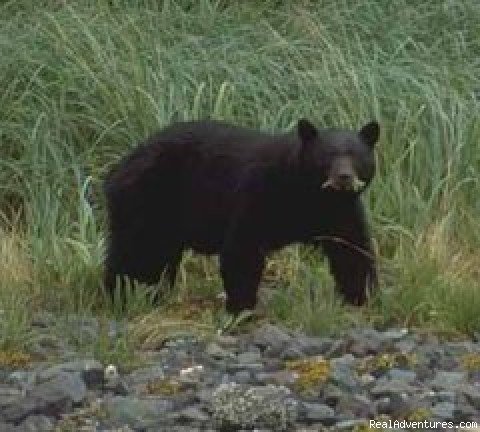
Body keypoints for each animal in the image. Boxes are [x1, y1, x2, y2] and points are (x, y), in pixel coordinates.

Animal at [104, 118, 378, 312]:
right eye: (327, 156)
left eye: (355, 155)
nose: (344, 177)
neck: (309, 196)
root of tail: (119, 166)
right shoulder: (258, 193)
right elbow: (243, 248)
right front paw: (241, 307)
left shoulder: (339, 212)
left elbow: (352, 249)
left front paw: (362, 296)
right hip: (145, 201)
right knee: (135, 253)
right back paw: (120, 297)